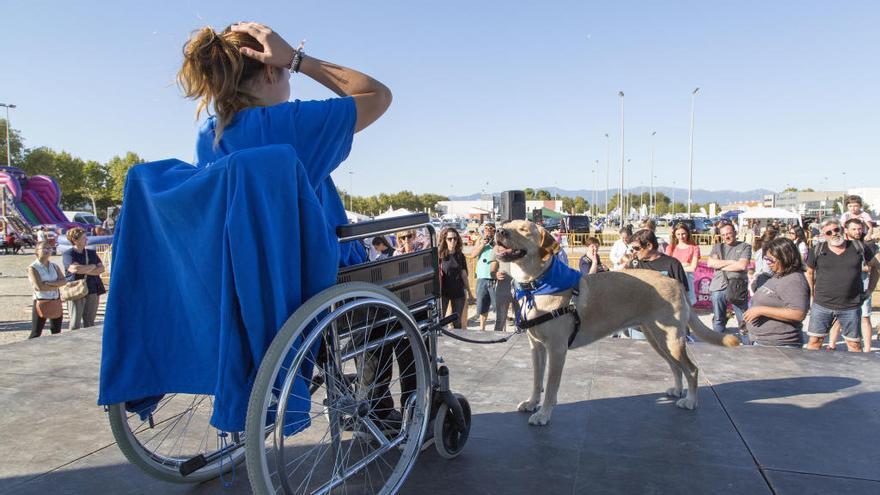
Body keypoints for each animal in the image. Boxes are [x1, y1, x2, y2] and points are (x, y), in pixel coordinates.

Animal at [496, 221, 736, 426]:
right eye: (507, 224)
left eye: (524, 230)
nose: (499, 231)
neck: (536, 285)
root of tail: (674, 281)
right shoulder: (536, 347)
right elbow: (537, 381)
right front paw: (532, 403)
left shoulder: (556, 349)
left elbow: (551, 386)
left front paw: (543, 414)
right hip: (658, 339)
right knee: (676, 367)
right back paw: (677, 390)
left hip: (671, 341)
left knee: (692, 369)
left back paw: (691, 401)